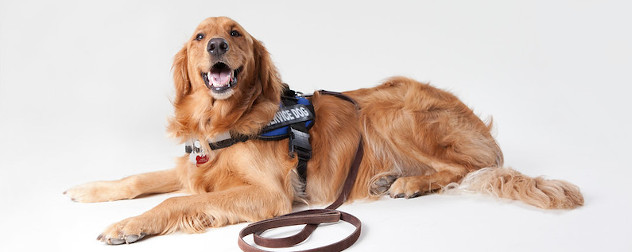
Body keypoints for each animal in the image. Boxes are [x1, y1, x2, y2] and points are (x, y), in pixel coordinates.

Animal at [64, 16, 584, 245]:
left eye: (234, 33)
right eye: (198, 37)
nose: (215, 46)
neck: (227, 121)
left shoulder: (270, 195)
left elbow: (175, 202)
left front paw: (129, 226)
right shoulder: (197, 164)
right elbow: (142, 179)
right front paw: (88, 190)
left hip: (390, 111)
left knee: (465, 167)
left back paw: (406, 182)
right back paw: (391, 178)